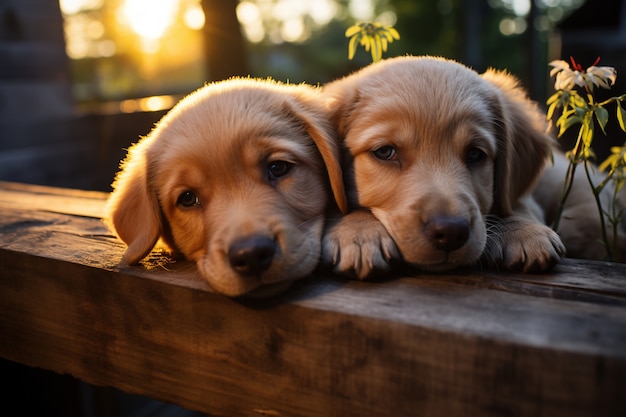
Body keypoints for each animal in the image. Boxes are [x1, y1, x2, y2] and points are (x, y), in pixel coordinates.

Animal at [322, 54, 564, 276]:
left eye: (475, 154)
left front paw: (524, 230)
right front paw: (359, 232)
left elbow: (518, 203)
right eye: (384, 152)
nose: (450, 232)